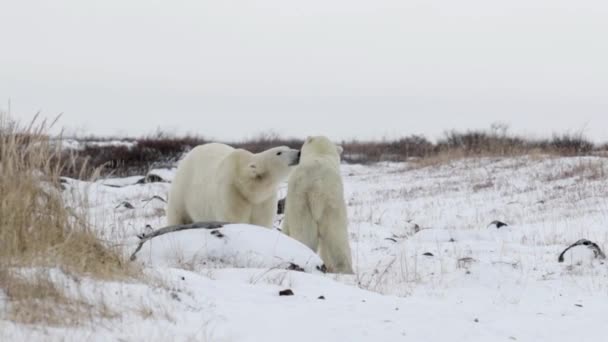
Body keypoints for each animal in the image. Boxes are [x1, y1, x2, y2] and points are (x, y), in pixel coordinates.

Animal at [166, 143, 300, 228]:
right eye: (279, 152)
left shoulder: (264, 200)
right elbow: (232, 219)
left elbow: (262, 222)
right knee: (177, 215)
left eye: (288, 147)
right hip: (182, 190)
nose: (299, 153)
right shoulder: (232, 192)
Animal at [282, 136, 354, 276]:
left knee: (306, 235)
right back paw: (343, 269)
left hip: (303, 202)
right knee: (336, 235)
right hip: (329, 203)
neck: (320, 154)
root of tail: (316, 187)